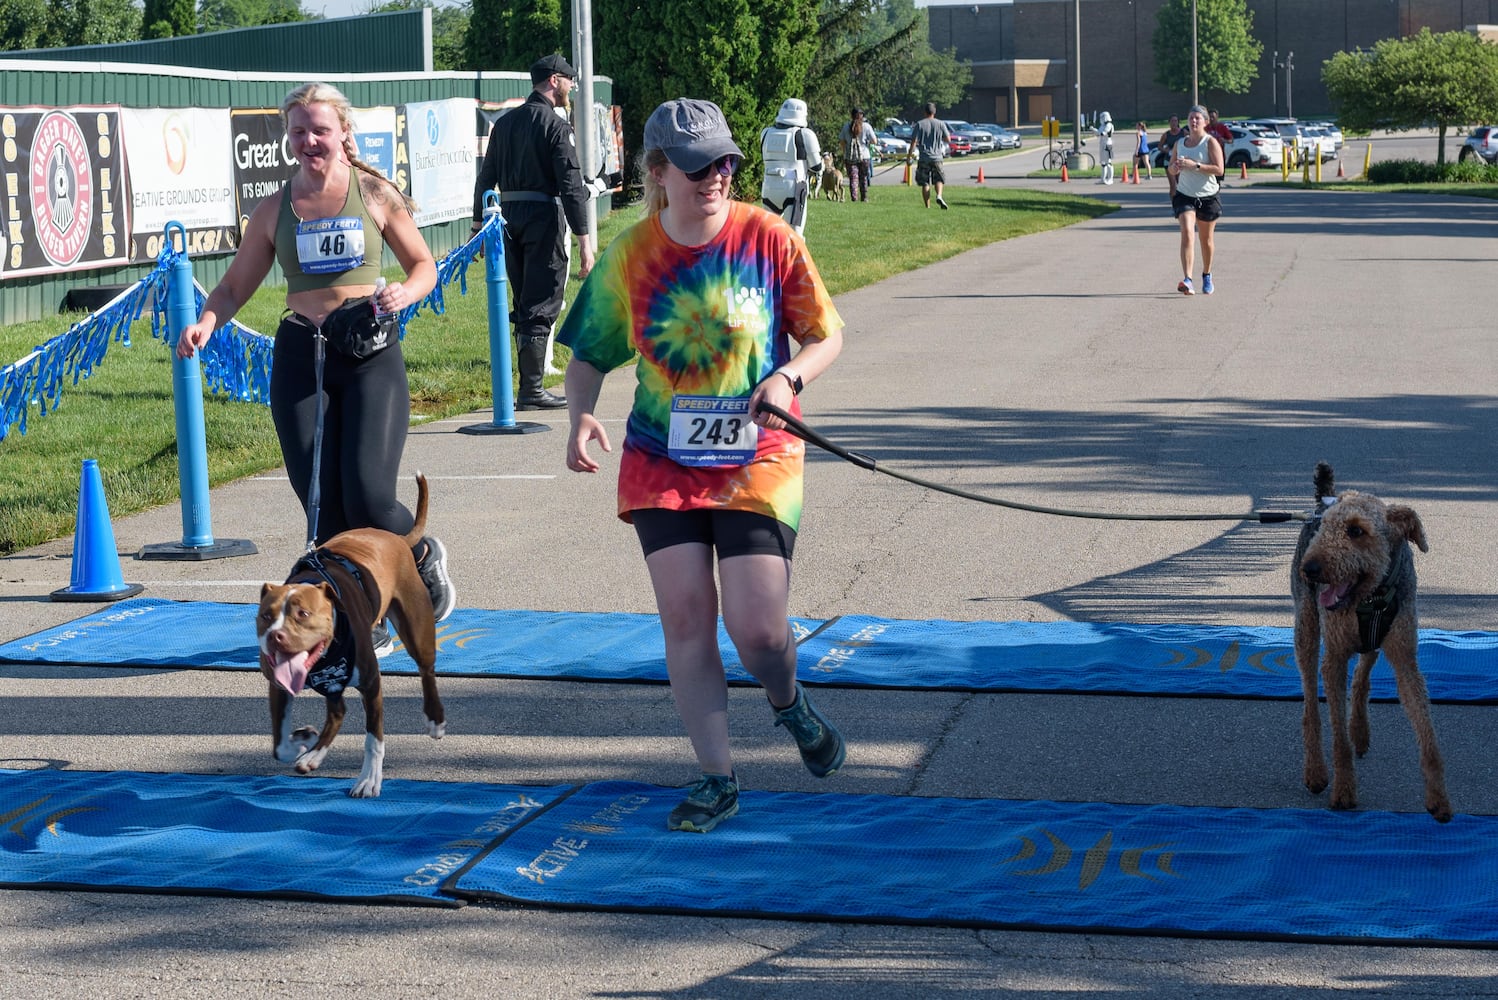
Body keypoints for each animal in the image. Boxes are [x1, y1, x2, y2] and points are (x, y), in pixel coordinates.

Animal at [254, 470, 443, 796]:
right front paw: (302, 740)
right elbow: (279, 744)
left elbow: (373, 739)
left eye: (302, 614)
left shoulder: (371, 684)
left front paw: (368, 780)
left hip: (416, 629)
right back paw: (313, 754)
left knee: (426, 670)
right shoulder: (278, 685)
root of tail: (394, 538)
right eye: (266, 616)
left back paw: (434, 719)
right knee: (337, 711)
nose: (275, 637)